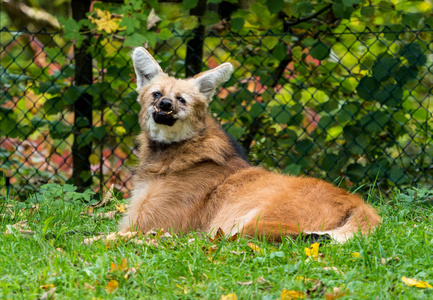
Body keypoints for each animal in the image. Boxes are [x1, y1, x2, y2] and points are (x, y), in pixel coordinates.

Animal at [118, 47, 378, 244]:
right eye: (156, 94)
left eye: (181, 99)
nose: (164, 105)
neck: (170, 155)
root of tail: (359, 203)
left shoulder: (151, 225)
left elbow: (111, 237)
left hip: (252, 223)